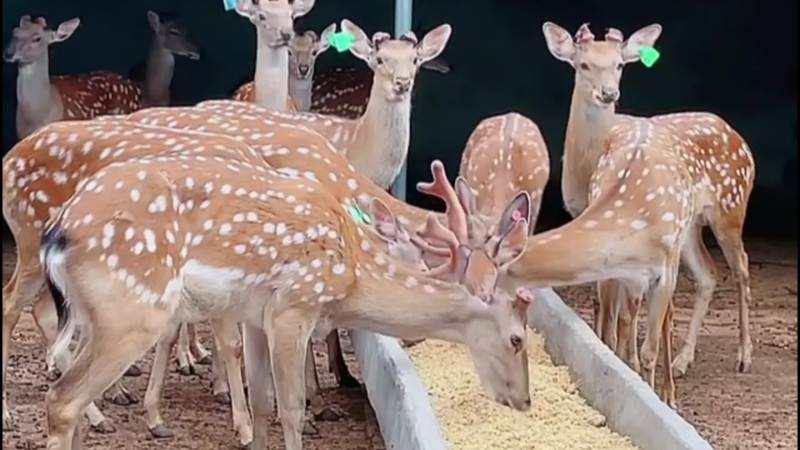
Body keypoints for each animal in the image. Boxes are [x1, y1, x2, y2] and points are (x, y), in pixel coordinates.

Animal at [34, 118, 534, 450]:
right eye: (516, 339)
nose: (525, 400)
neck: (350, 274)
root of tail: (57, 234)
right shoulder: (294, 307)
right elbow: (290, 408)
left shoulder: (257, 317)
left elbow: (261, 402)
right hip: (132, 309)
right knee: (62, 399)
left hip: (97, 312)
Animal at [541, 22, 755, 378]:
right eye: (583, 64)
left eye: (619, 65)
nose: (608, 93)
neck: (586, 171)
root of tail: (740, 140)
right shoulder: (582, 220)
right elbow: (606, 301)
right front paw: (613, 350)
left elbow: (619, 306)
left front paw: (619, 353)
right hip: (689, 228)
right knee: (708, 274)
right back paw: (682, 360)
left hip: (731, 207)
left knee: (741, 267)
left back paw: (744, 355)